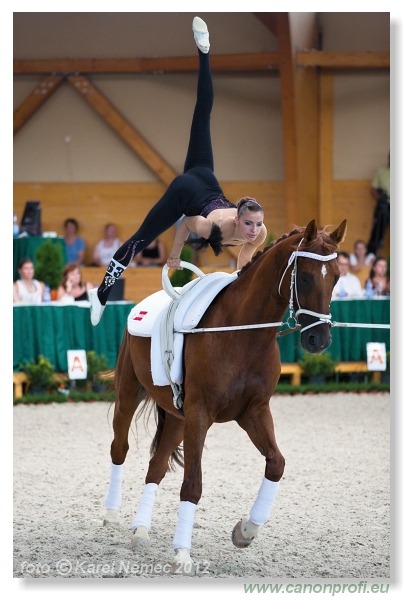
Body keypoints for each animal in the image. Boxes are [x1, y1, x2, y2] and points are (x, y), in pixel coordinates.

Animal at [103, 218, 348, 576]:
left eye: (338, 278)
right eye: (304, 276)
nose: (320, 339)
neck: (243, 333)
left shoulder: (254, 412)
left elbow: (276, 463)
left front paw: (245, 531)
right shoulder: (201, 414)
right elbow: (193, 483)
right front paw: (182, 554)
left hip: (177, 417)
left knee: (156, 466)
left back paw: (140, 530)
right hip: (130, 394)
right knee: (119, 448)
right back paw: (111, 513)